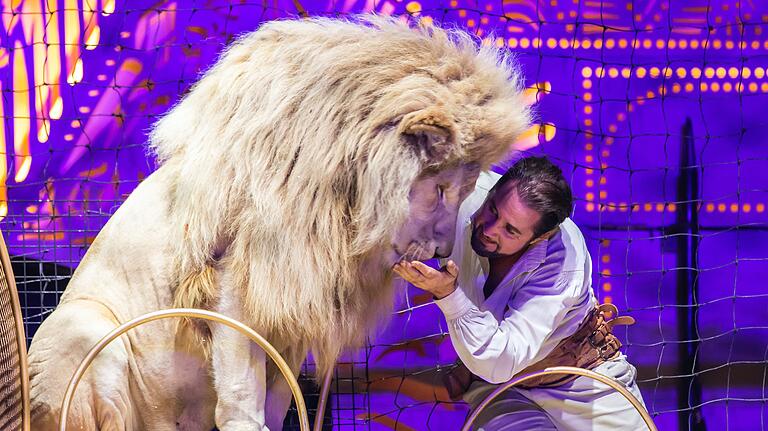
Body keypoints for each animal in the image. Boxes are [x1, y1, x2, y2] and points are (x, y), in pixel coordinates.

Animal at [31, 15, 536, 430]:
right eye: (442, 189)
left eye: (468, 190)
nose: (441, 253)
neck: (341, 204)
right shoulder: (233, 286)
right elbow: (241, 400)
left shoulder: (293, 312)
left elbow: (277, 402)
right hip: (81, 326)